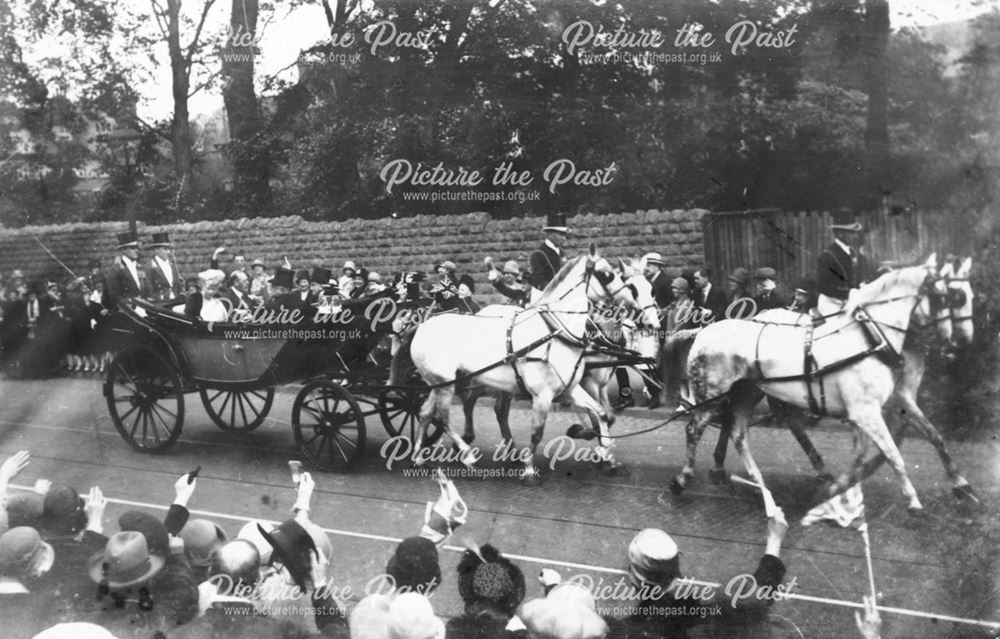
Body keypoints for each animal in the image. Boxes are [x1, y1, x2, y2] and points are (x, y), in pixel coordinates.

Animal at [406, 248, 656, 482]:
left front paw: (606, 455)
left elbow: (604, 415)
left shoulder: (578, 386)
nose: (651, 322)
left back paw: (420, 457)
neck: (557, 331)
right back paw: (467, 453)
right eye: (609, 276)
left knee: (428, 412)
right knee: (445, 415)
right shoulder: (551, 392)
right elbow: (540, 431)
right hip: (449, 383)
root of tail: (423, 327)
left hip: (446, 382)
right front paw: (531, 469)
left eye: (651, 287)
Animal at [672, 258, 936, 512]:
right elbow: (888, 450)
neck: (869, 337)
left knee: (741, 429)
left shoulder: (872, 406)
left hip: (748, 392)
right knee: (697, 429)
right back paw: (687, 478)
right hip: (721, 395)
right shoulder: (866, 407)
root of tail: (705, 334)